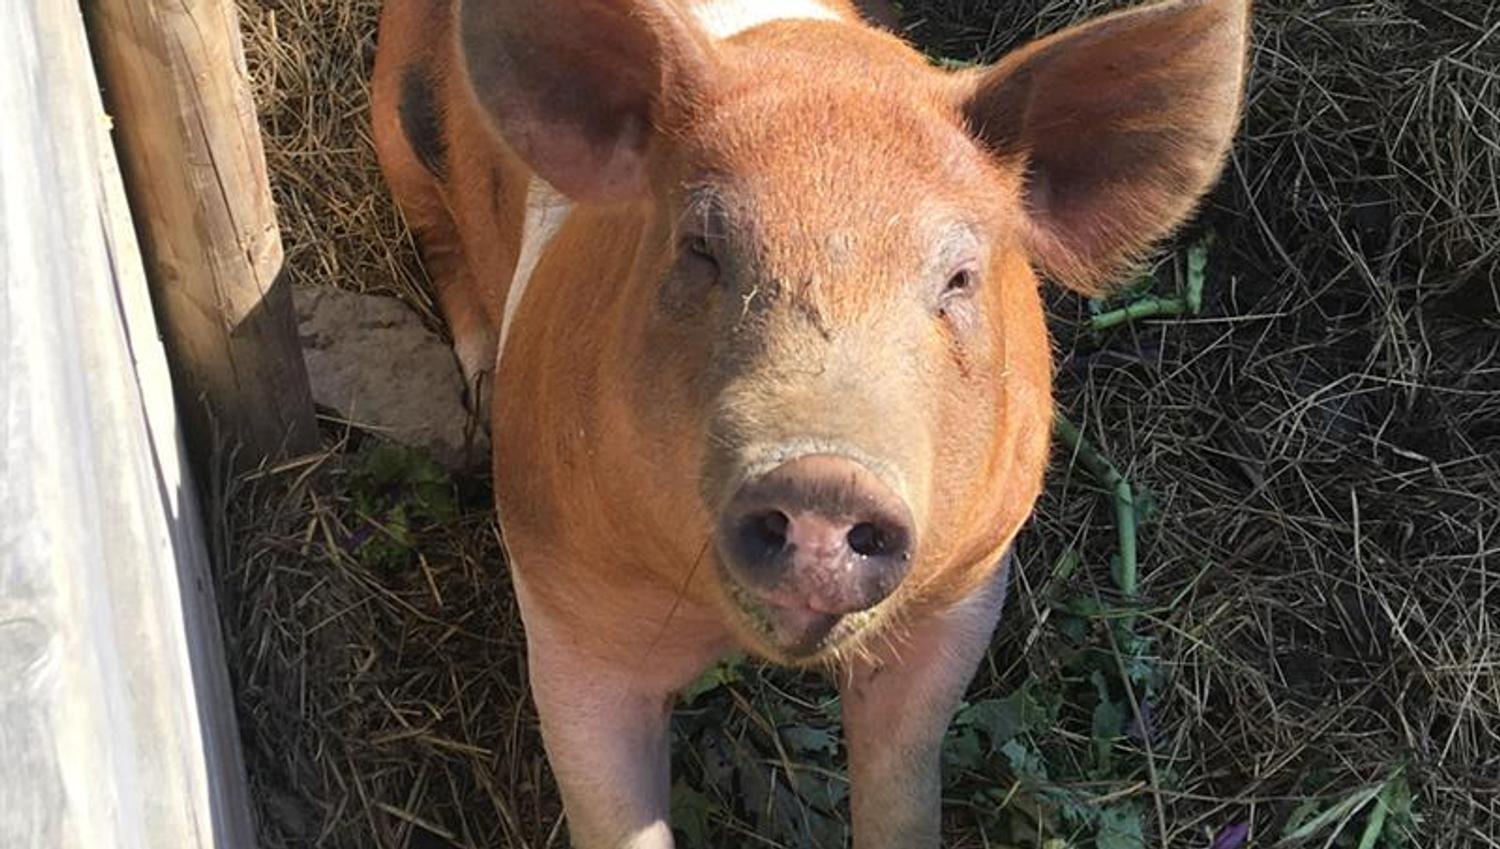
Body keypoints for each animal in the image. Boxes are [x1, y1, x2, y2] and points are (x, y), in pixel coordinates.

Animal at [370, 0, 1250, 845]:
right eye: (700, 247)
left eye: (960, 278)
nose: (825, 478)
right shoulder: (564, 610)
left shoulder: (965, 590)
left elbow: (903, 792)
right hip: (398, 128)